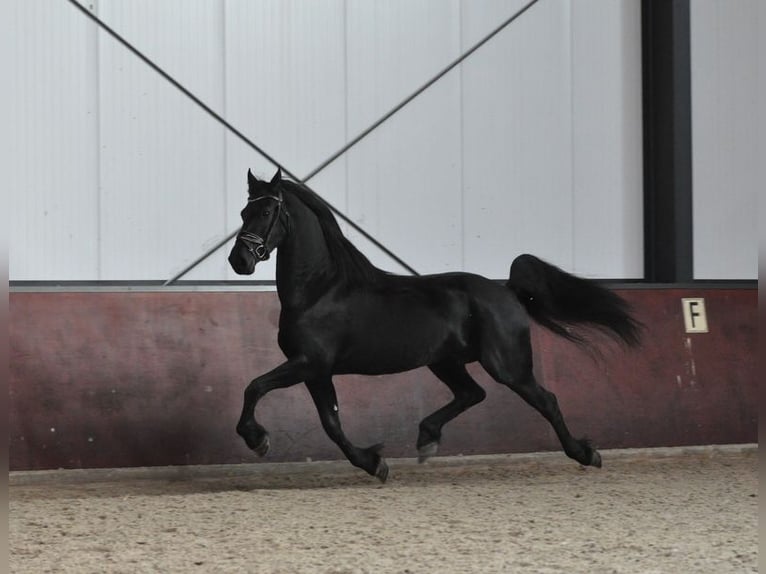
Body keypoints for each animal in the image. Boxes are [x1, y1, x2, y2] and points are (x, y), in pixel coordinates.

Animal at [228, 169, 640, 484]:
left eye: (267, 211)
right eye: (243, 211)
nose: (239, 261)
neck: (319, 290)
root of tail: (507, 290)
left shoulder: (308, 363)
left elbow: (255, 387)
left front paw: (257, 438)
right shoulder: (316, 371)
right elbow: (330, 422)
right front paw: (374, 463)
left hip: (506, 364)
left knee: (545, 400)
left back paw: (586, 453)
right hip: (445, 361)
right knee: (472, 394)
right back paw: (427, 438)